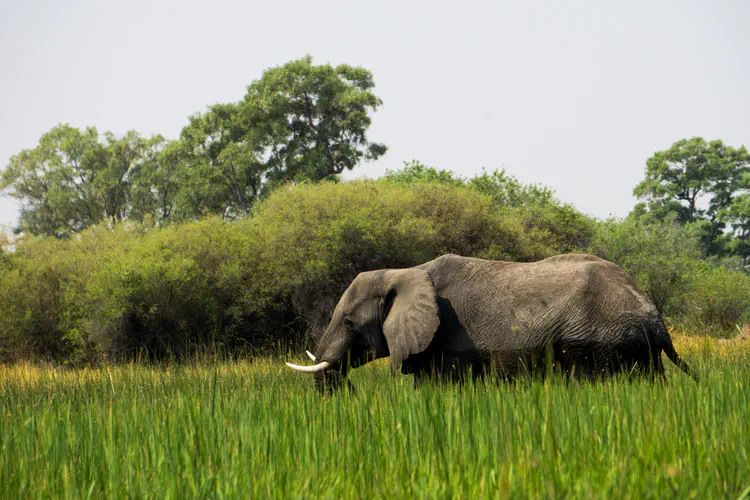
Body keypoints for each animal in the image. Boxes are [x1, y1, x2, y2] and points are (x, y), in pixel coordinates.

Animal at [288, 254, 700, 390]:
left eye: (349, 323)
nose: (346, 389)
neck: (404, 272)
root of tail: (655, 315)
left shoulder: (448, 342)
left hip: (601, 343)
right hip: (639, 351)